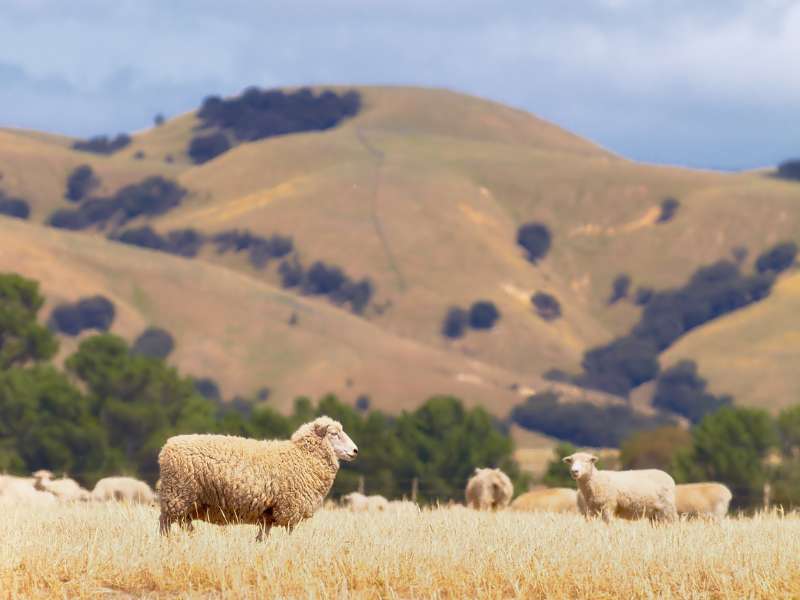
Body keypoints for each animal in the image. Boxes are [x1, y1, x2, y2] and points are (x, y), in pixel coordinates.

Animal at [156, 418, 356, 540]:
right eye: (334, 434)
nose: (355, 451)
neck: (302, 456)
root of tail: (167, 447)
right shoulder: (290, 509)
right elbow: (289, 535)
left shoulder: (268, 513)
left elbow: (263, 537)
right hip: (177, 495)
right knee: (164, 524)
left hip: (188, 502)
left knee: (183, 523)